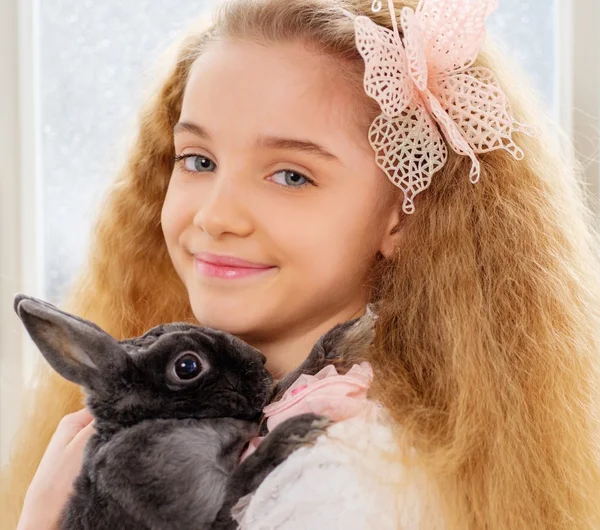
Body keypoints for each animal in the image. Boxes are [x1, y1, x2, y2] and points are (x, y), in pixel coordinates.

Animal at [14, 294, 372, 524]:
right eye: (187, 366)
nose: (260, 359)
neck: (162, 419)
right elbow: (238, 485)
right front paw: (293, 432)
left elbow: (282, 389)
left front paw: (346, 335)